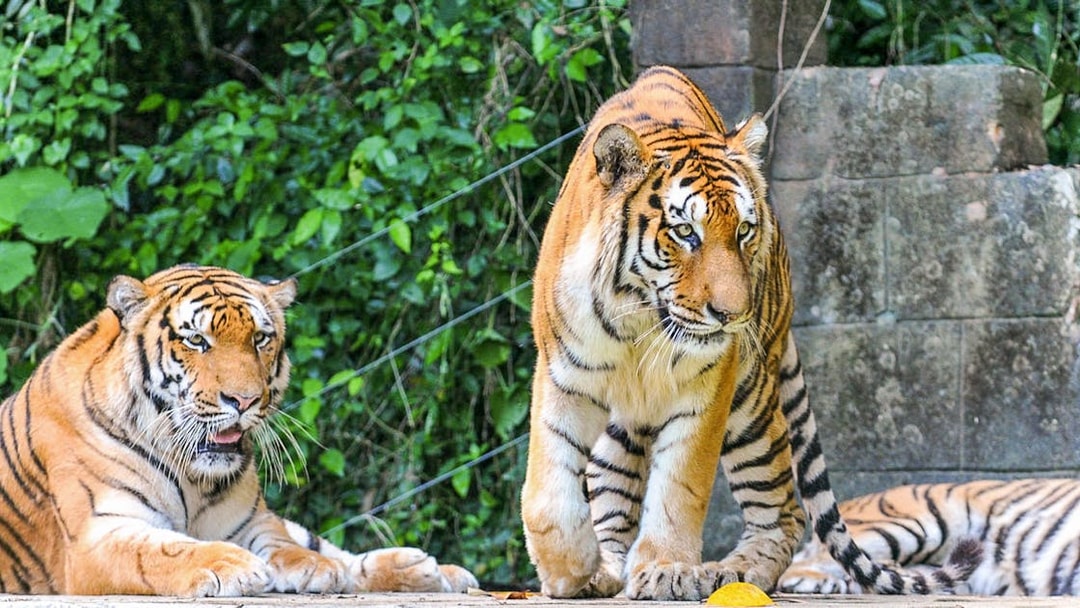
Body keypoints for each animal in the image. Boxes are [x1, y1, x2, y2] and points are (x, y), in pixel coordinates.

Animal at [0, 264, 476, 596]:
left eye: (260, 339)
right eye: (196, 340)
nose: (244, 401)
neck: (191, 475)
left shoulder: (249, 518)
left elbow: (282, 542)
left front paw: (310, 567)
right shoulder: (99, 535)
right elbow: (158, 549)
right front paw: (231, 565)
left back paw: (434, 570)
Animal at [519, 65, 981, 601]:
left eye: (742, 230)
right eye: (685, 233)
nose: (733, 314)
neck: (641, 322)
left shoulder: (708, 387)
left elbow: (680, 486)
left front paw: (667, 568)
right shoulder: (563, 374)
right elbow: (548, 485)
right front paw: (570, 569)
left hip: (753, 404)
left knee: (785, 511)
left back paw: (733, 571)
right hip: (626, 422)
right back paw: (609, 567)